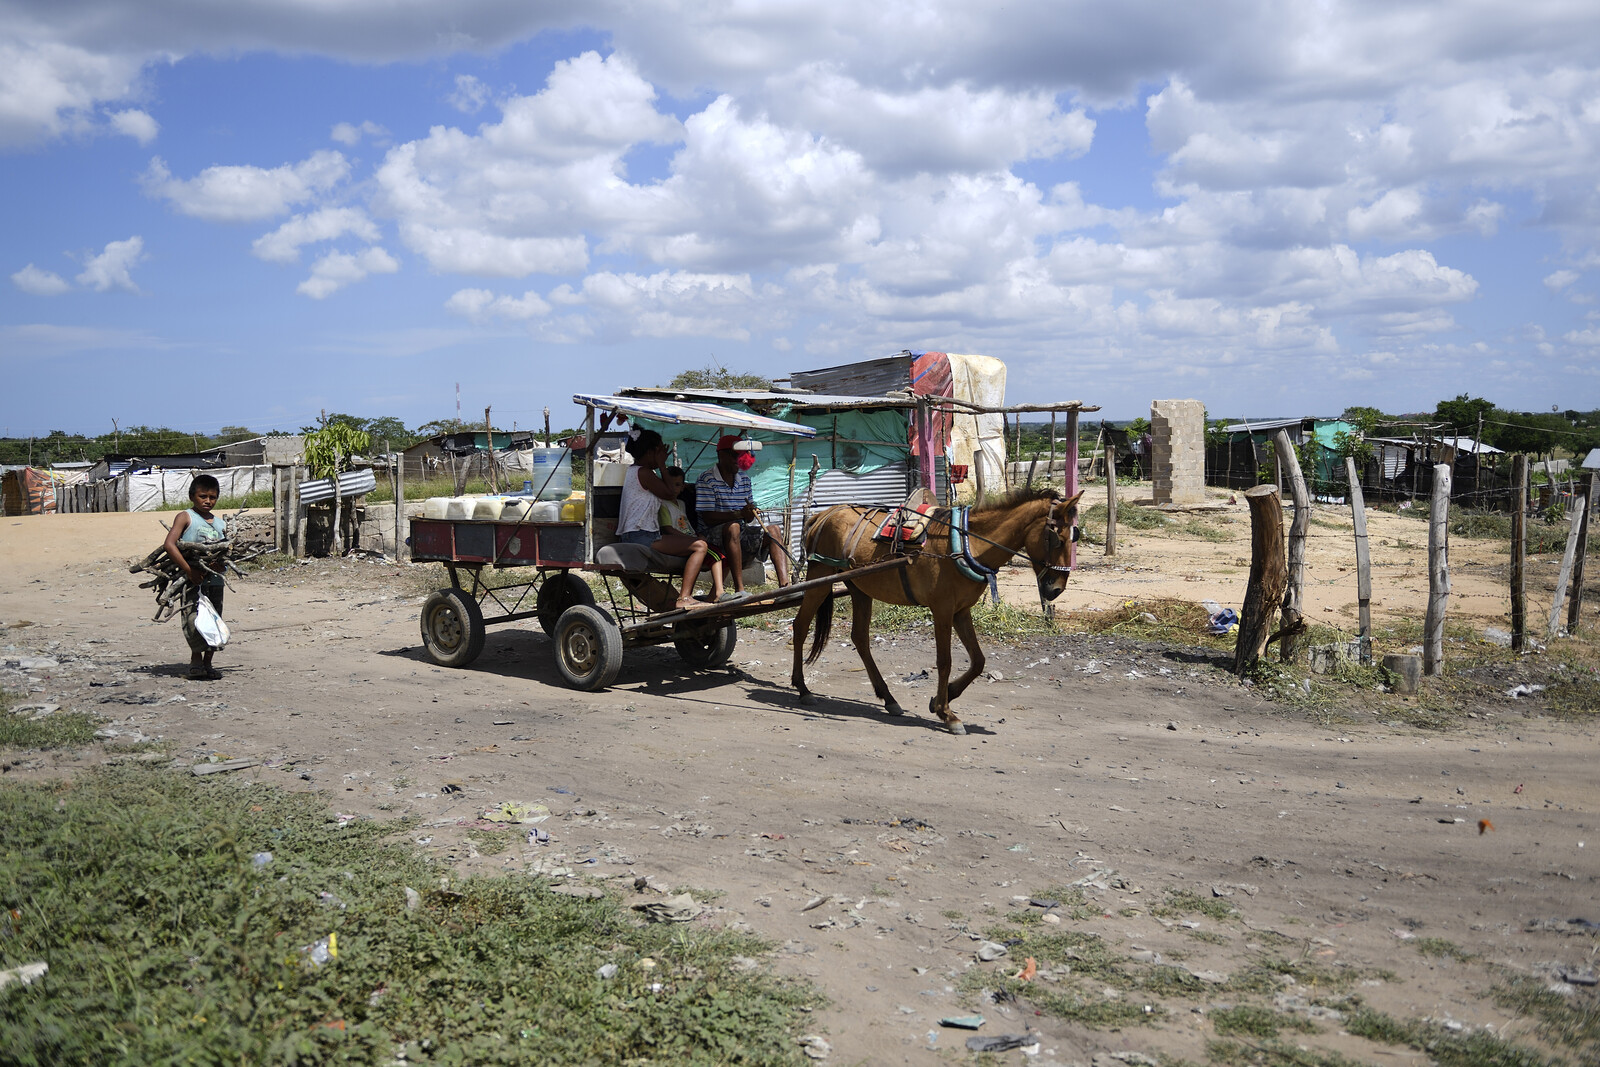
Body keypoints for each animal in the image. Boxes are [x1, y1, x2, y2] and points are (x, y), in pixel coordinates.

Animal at [793, 489, 1081, 735]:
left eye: (1074, 536)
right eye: (1057, 539)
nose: (1056, 589)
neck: (966, 543)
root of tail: (823, 514)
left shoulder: (961, 611)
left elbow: (978, 660)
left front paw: (943, 698)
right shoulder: (942, 609)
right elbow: (945, 661)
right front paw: (947, 714)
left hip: (859, 588)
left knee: (860, 639)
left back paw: (888, 698)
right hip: (820, 578)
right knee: (800, 626)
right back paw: (803, 688)